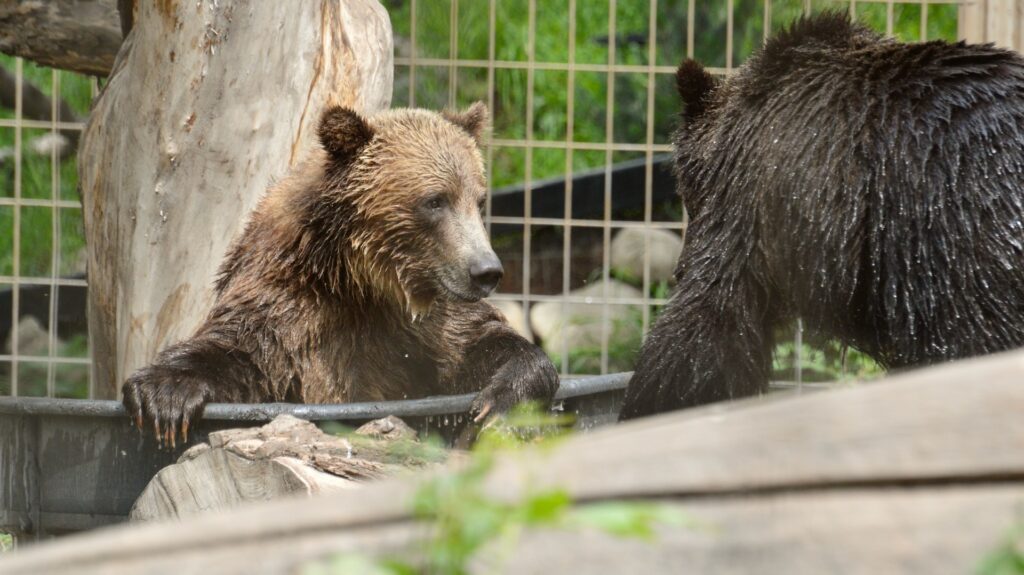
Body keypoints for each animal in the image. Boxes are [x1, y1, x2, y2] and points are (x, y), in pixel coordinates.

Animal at [123, 103, 559, 444]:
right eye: (435, 201)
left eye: (479, 200)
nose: (486, 271)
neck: (361, 282)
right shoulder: (287, 305)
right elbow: (236, 353)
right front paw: (166, 395)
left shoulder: (428, 322)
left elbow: (484, 344)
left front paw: (500, 401)